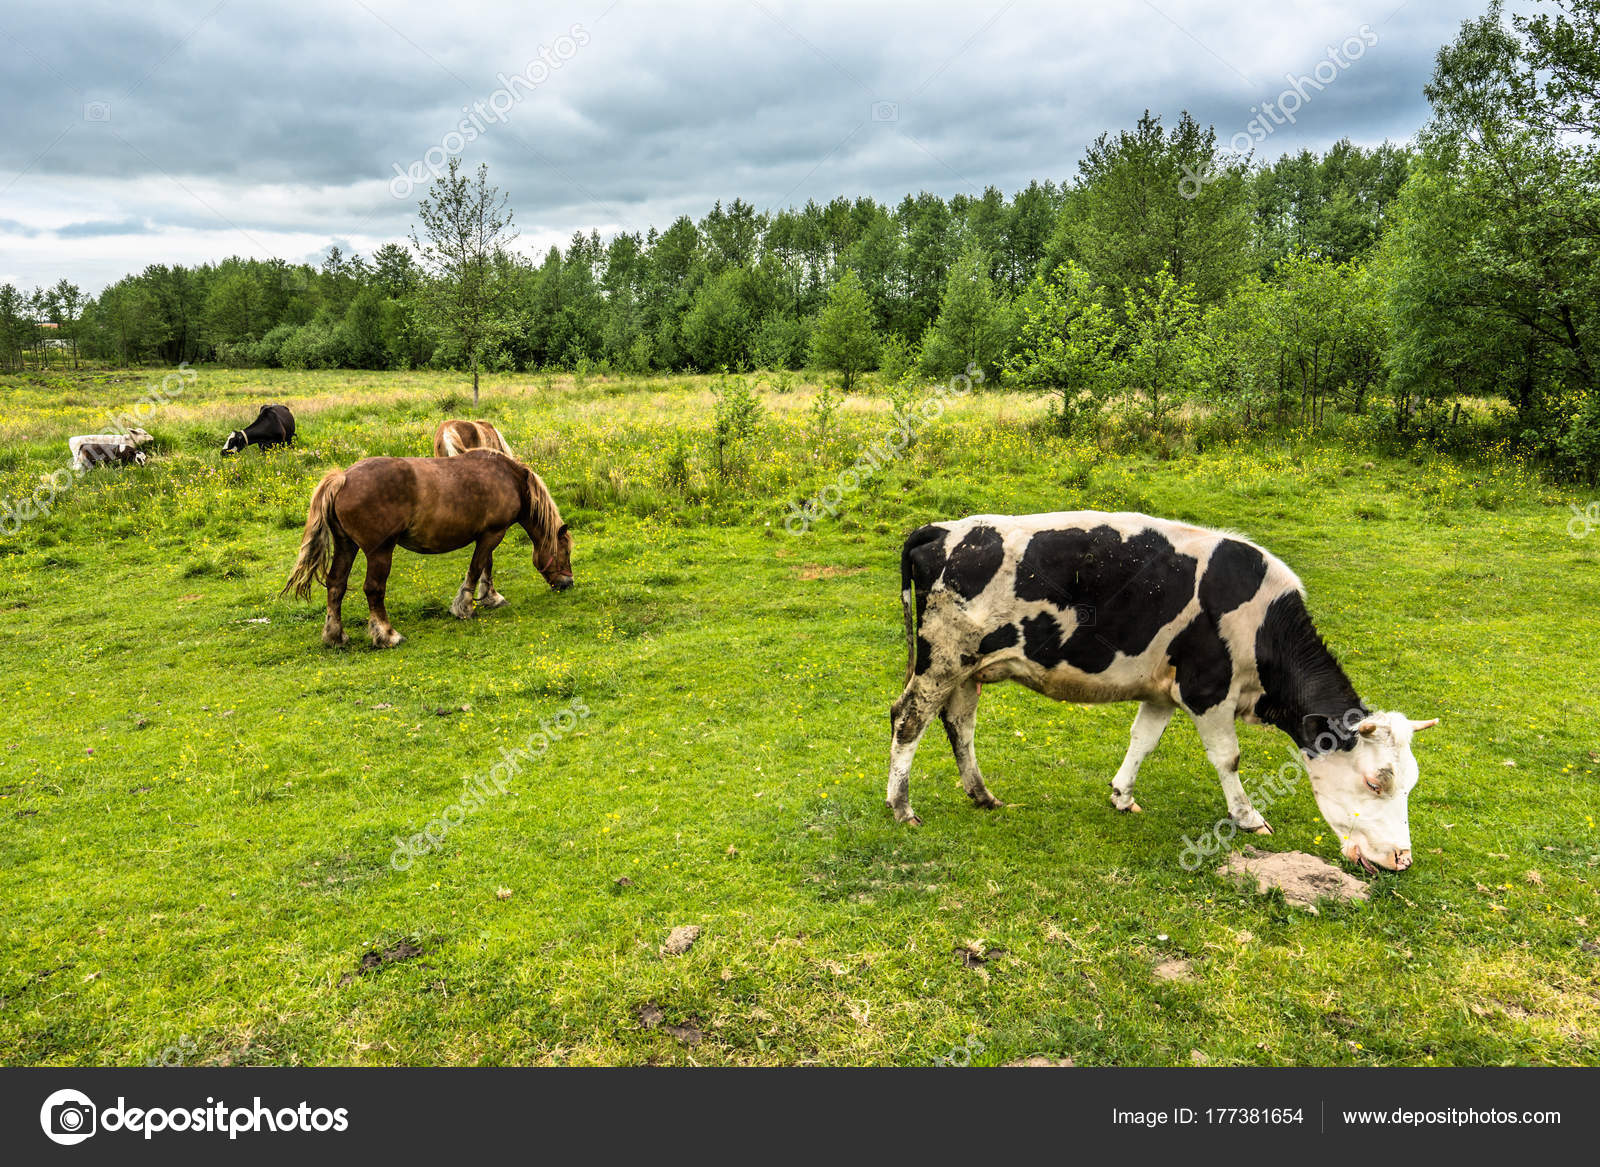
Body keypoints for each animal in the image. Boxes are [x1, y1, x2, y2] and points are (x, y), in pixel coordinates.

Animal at [282, 449, 572, 647]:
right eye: (566, 552)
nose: (567, 583)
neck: (509, 479)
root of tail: (342, 478)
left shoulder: (488, 535)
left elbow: (486, 566)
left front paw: (491, 597)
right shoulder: (492, 533)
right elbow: (476, 568)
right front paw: (465, 607)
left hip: (347, 546)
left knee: (336, 585)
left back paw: (335, 635)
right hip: (379, 552)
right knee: (373, 589)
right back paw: (387, 635)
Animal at [888, 511, 1438, 873]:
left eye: (1409, 783)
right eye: (1375, 782)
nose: (1402, 859)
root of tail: (939, 529)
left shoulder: (1161, 691)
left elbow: (1143, 741)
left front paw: (1122, 795)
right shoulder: (1206, 689)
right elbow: (1228, 758)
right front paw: (1248, 817)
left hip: (968, 669)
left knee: (959, 724)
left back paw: (983, 796)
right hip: (941, 659)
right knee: (908, 718)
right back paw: (902, 808)